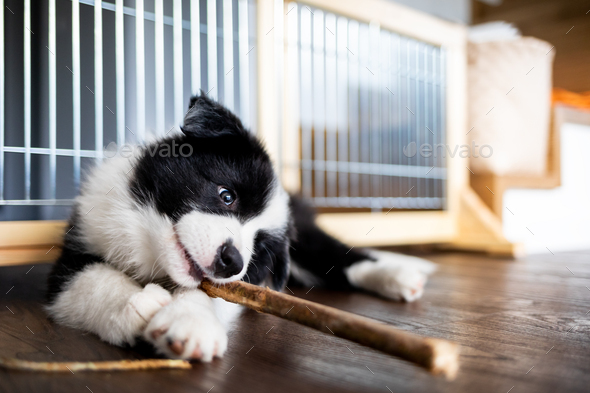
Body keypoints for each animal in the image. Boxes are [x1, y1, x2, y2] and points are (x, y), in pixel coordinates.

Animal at [47, 93, 434, 360]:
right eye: (227, 195)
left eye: (258, 248)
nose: (231, 260)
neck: (151, 252)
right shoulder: (78, 242)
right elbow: (91, 280)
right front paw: (137, 305)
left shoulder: (240, 285)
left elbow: (212, 293)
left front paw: (190, 324)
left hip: (306, 238)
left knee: (339, 256)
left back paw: (398, 274)